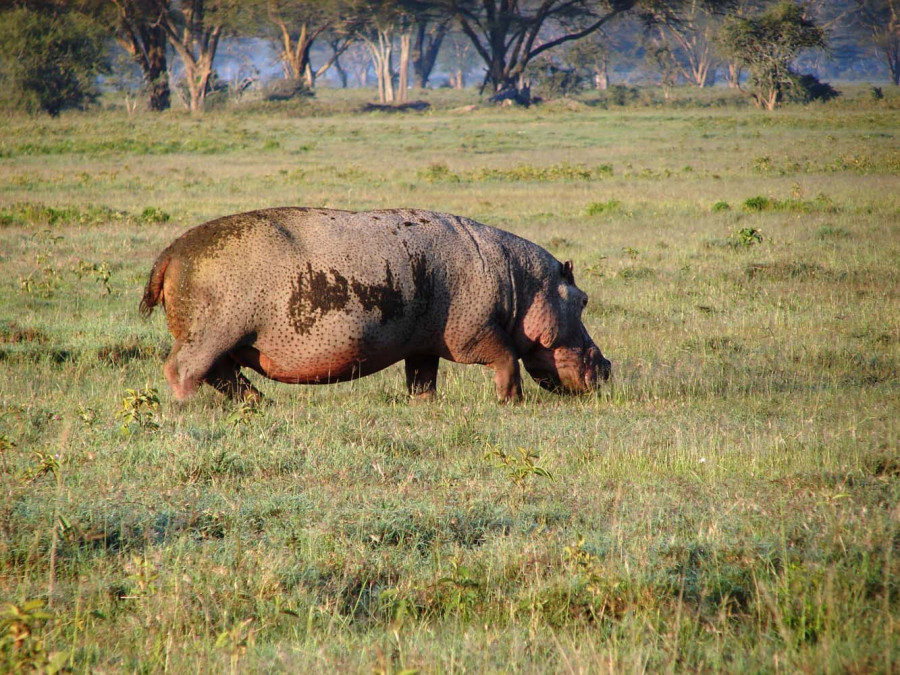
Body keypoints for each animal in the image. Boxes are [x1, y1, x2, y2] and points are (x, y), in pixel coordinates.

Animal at [139, 207, 612, 402]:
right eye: (583, 300)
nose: (608, 366)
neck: (524, 284)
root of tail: (172, 251)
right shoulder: (474, 335)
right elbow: (508, 359)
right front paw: (511, 403)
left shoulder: (423, 345)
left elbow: (422, 379)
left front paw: (426, 407)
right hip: (212, 334)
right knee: (184, 371)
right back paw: (189, 410)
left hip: (227, 340)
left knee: (225, 377)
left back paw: (260, 404)